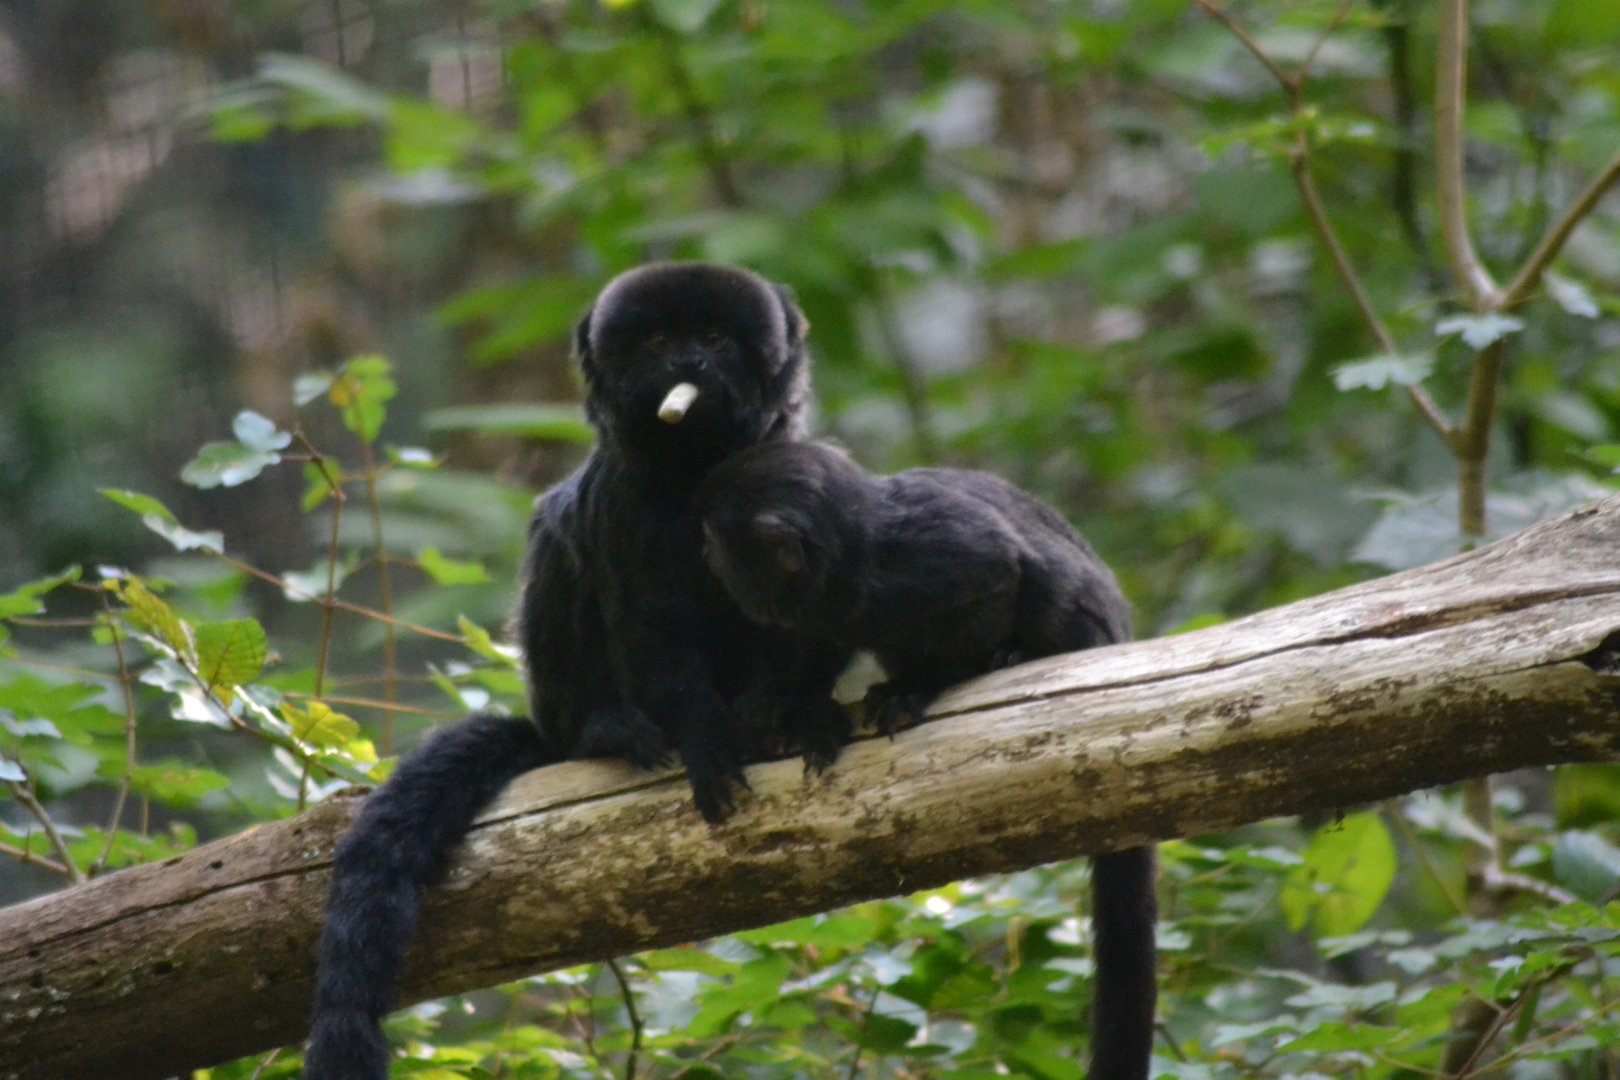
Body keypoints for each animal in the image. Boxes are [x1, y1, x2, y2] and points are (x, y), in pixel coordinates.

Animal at [306, 263, 813, 1080]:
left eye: (713, 340)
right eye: (660, 343)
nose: (689, 366)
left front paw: (770, 710)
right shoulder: (621, 499)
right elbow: (645, 615)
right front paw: (704, 736)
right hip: (559, 691)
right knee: (559, 540)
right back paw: (603, 730)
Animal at [695, 439, 1157, 1080]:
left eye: (717, 543)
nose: (705, 556)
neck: (852, 568)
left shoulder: (928, 550)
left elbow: (997, 572)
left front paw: (919, 686)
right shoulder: (820, 609)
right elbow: (810, 653)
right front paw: (784, 714)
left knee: (1049, 584)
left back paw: (1015, 655)